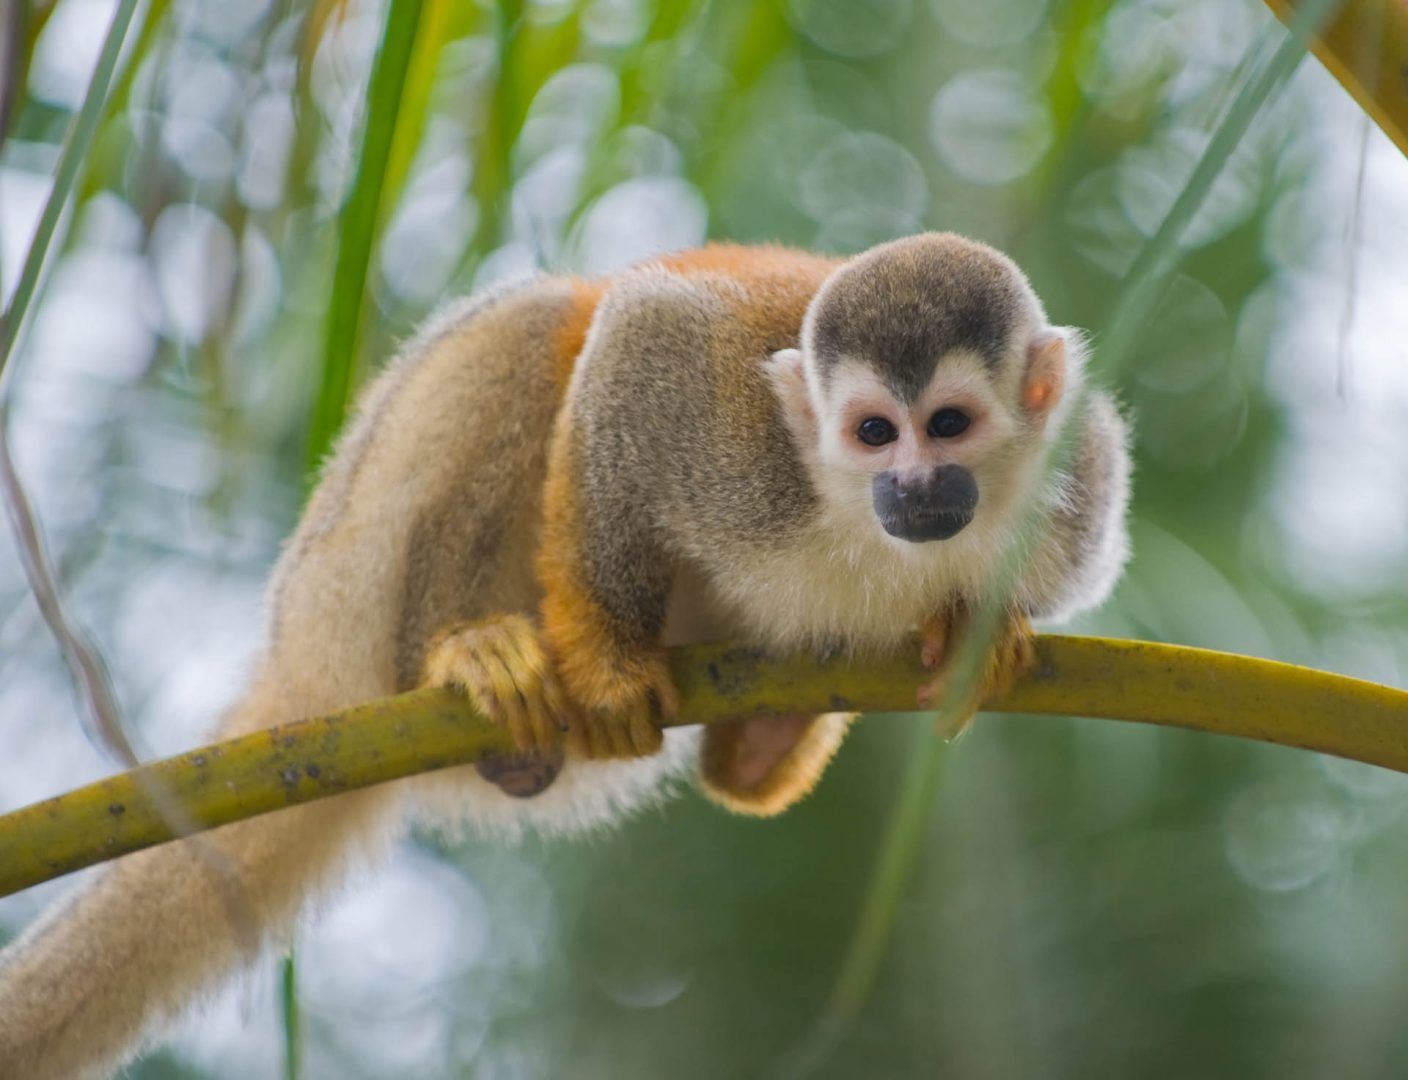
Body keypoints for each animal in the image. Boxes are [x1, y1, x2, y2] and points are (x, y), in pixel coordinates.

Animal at [0, 232, 1130, 1077]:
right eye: (872, 433)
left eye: (948, 424)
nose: (913, 487)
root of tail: (303, 673)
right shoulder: (738, 445)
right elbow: (638, 344)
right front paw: (608, 667)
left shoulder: (1082, 487)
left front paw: (975, 636)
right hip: (343, 574)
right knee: (539, 327)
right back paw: (465, 656)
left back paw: (759, 747)